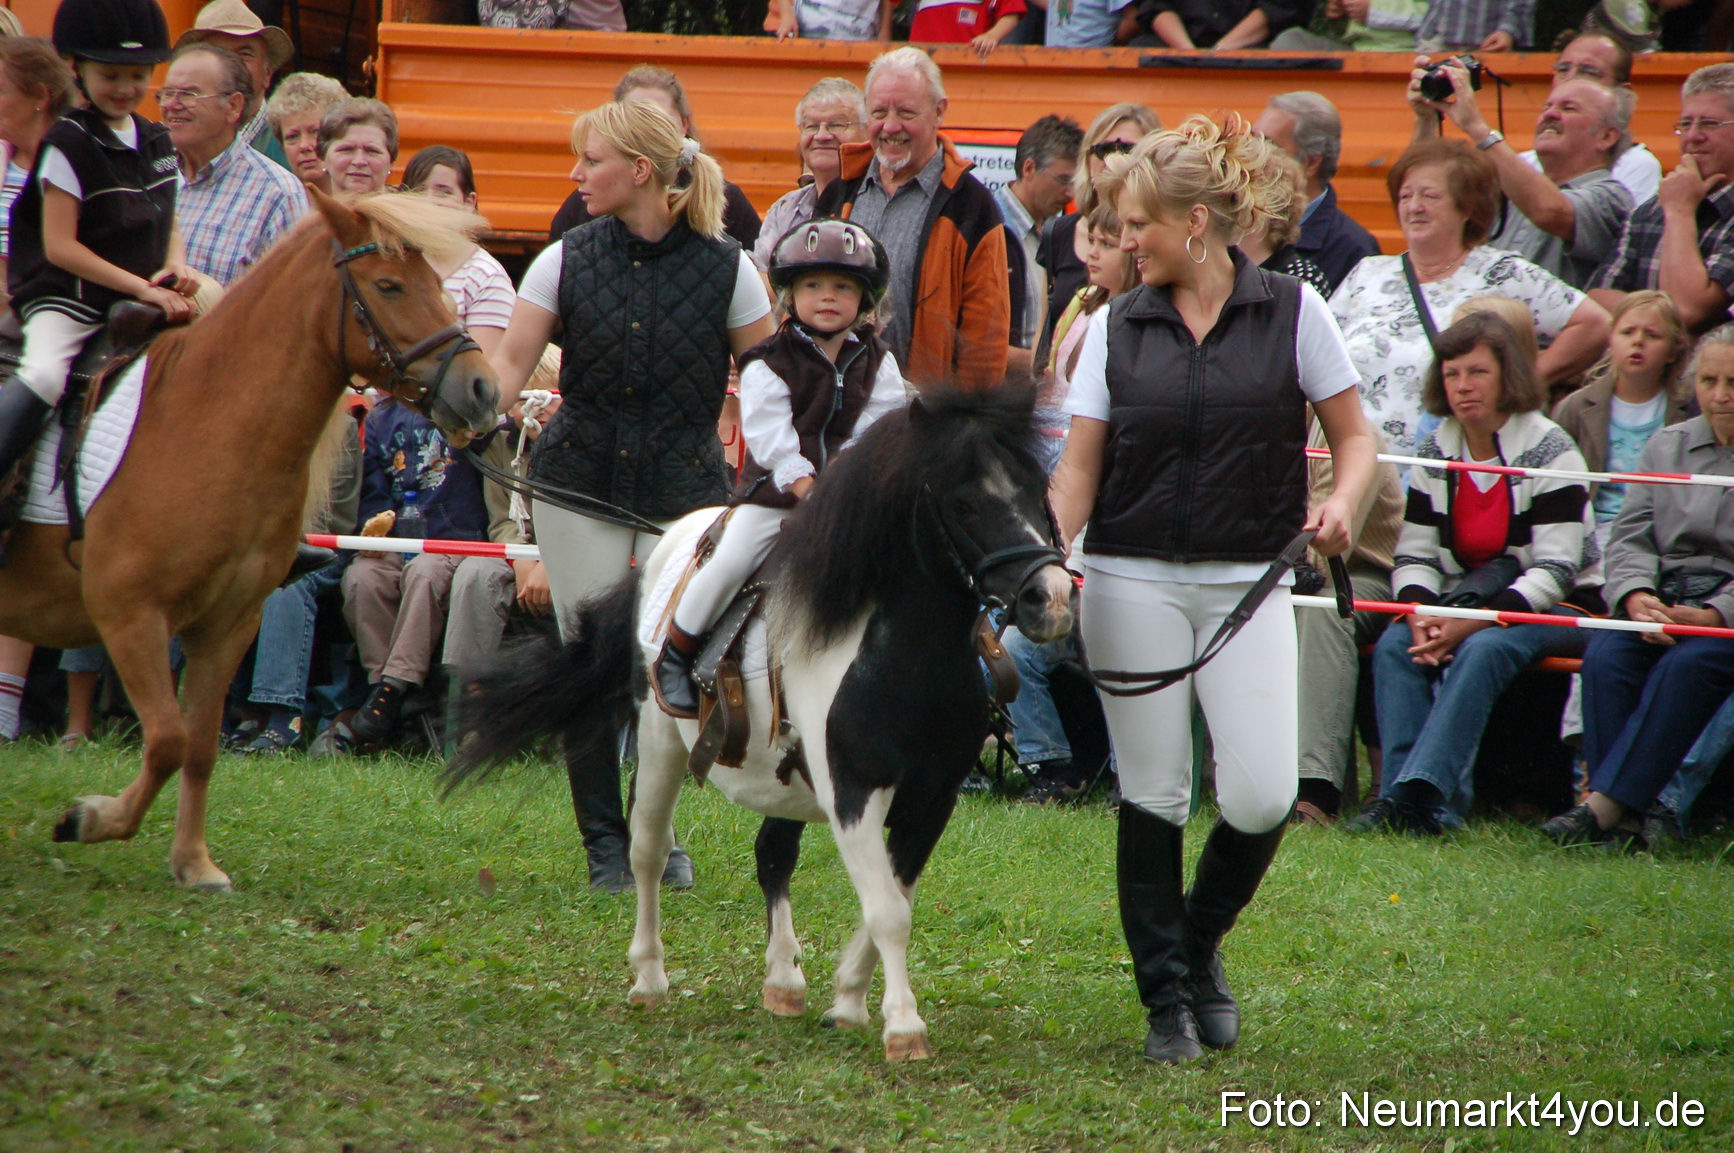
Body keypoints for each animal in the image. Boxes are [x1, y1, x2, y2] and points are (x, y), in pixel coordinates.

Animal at [0, 187, 499, 892]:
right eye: (391, 285)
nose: (482, 388)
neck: (207, 419)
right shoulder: (130, 615)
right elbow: (170, 740)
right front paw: (92, 819)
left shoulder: (229, 623)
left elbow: (199, 746)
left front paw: (192, 862)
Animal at [447, 386, 1075, 1061]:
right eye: (963, 502)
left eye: (1037, 489)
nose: (1052, 599)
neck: (899, 657)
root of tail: (665, 543)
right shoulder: (853, 791)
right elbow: (887, 910)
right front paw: (903, 1025)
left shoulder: (932, 799)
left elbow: (891, 896)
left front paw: (847, 1000)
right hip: (659, 743)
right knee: (648, 851)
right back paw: (649, 977)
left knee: (772, 855)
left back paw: (782, 981)